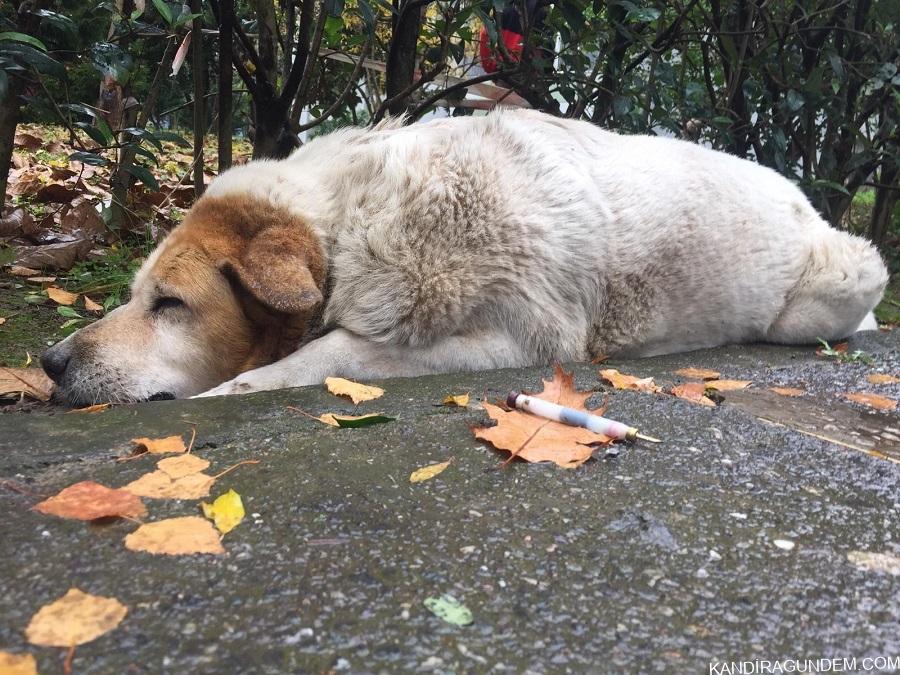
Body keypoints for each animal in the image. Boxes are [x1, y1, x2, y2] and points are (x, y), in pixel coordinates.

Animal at [40, 111, 884, 406]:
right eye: (135, 295)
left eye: (171, 304)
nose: (49, 361)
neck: (354, 220)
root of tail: (804, 196)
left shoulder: (515, 337)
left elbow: (330, 354)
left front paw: (234, 388)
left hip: (840, 283)